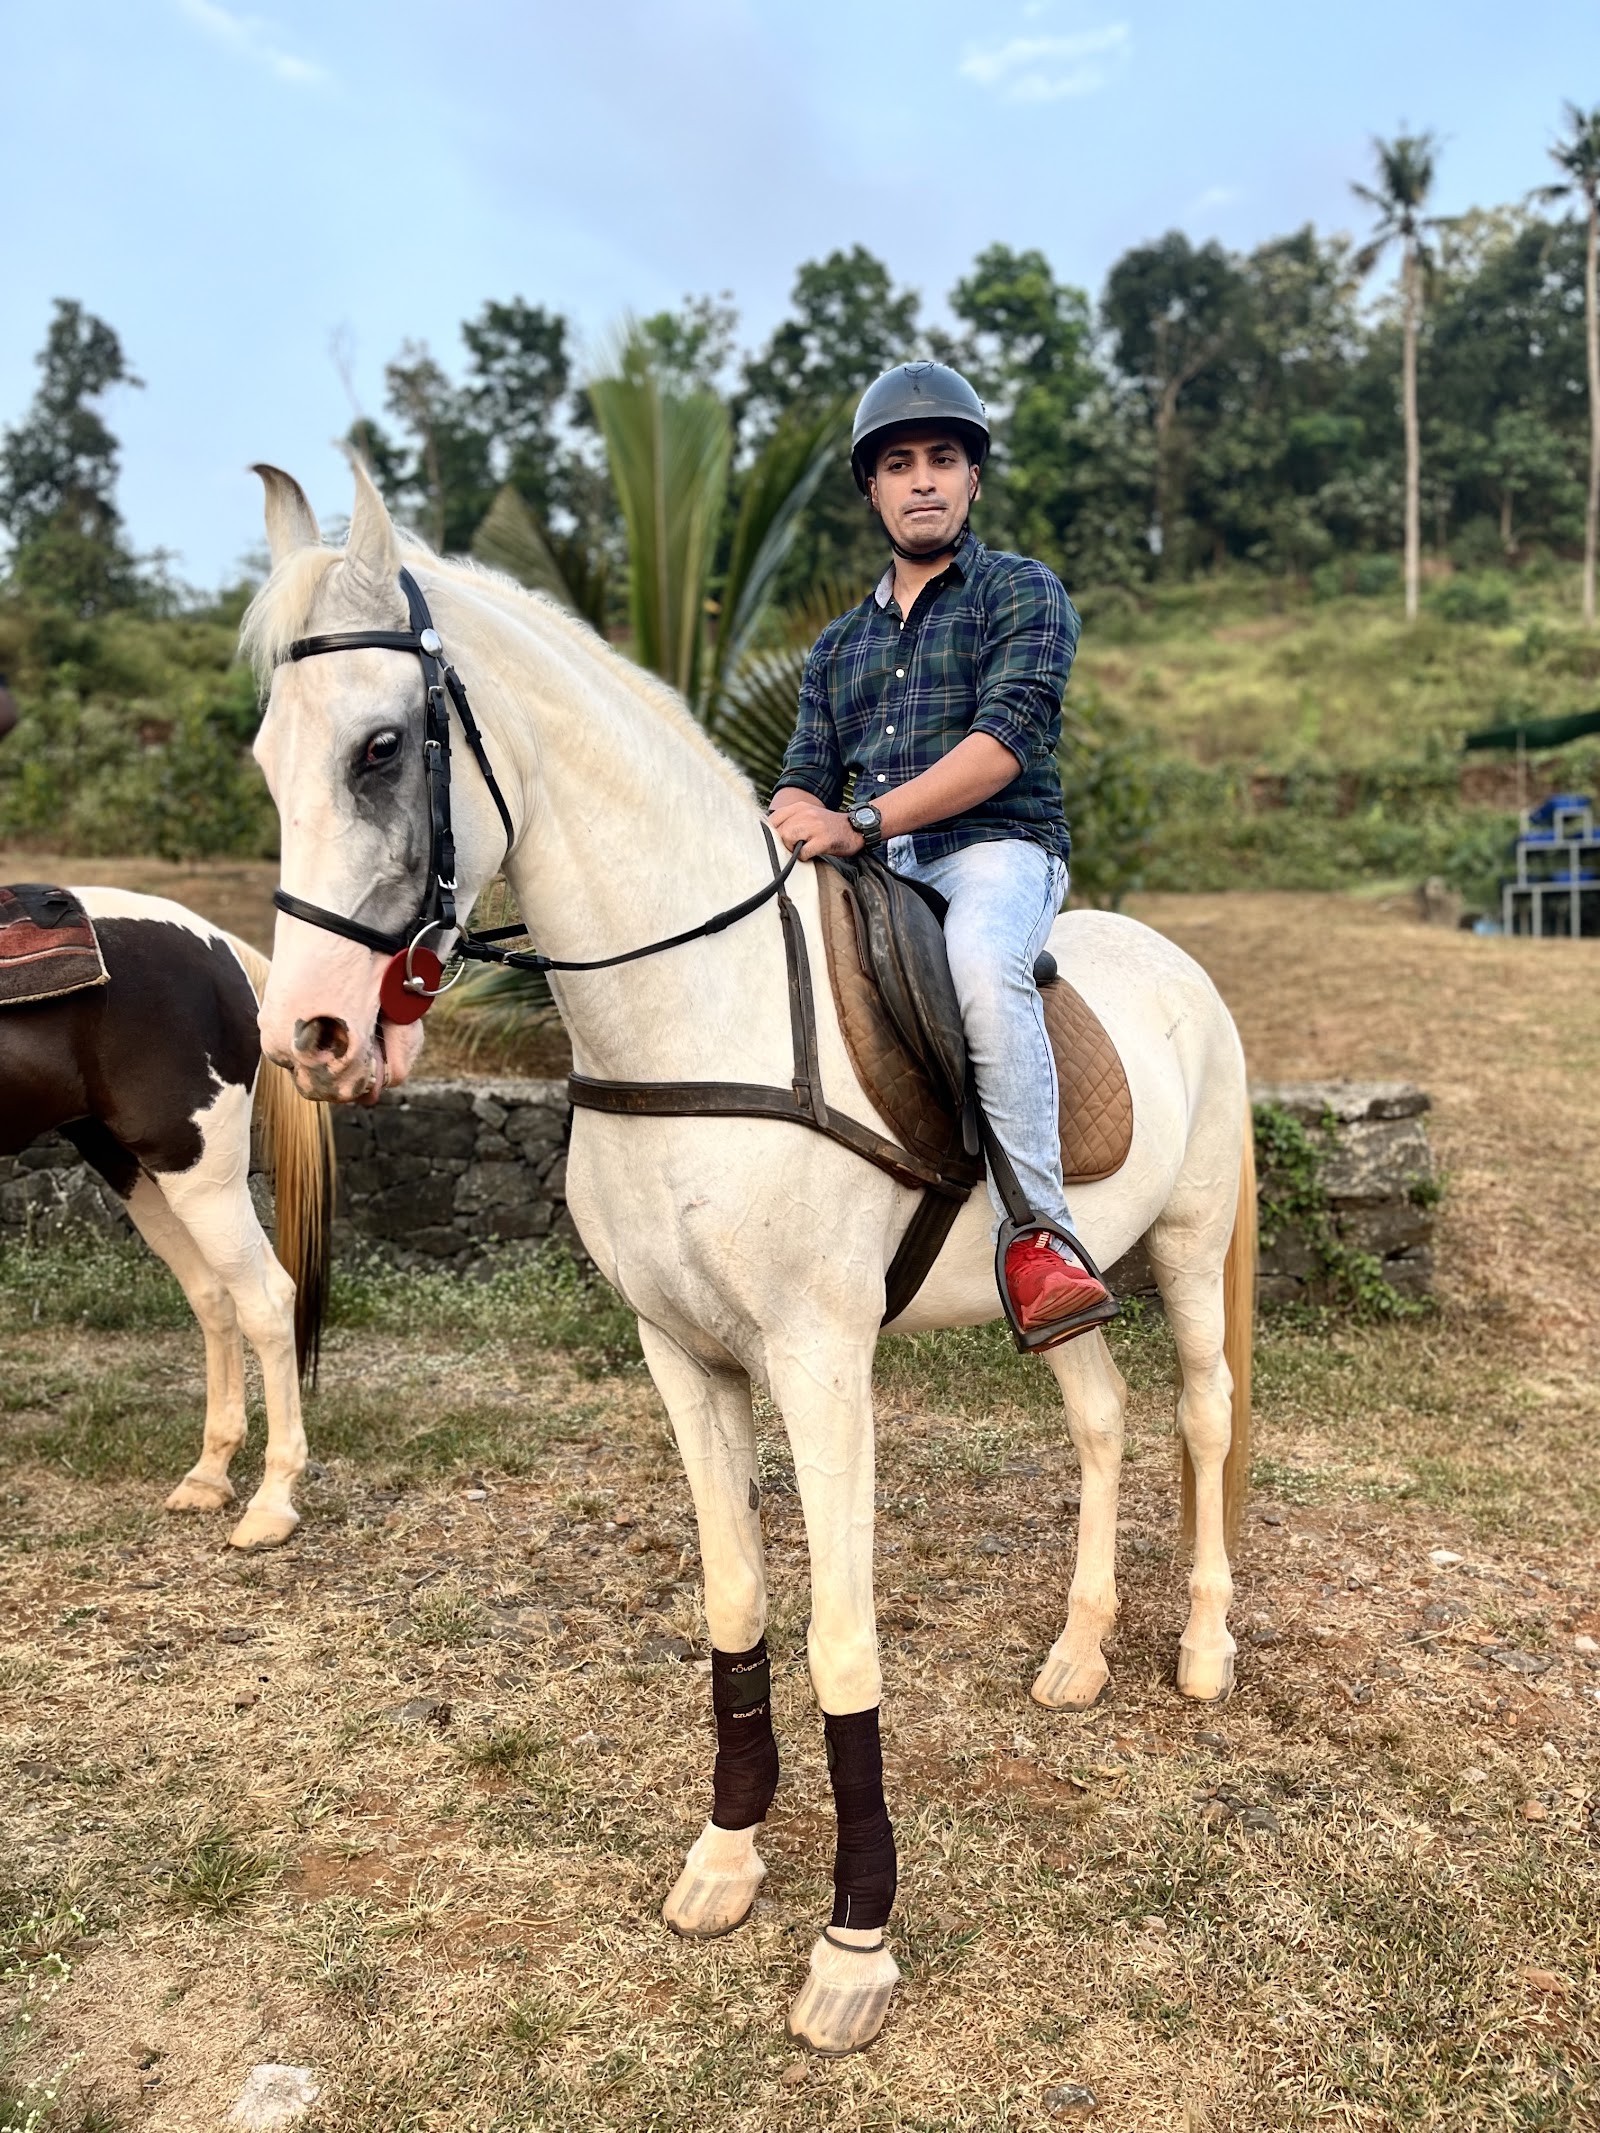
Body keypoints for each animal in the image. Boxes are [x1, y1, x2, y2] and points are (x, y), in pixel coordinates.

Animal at [0, 888, 333, 1550]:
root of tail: (219, 945)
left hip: (200, 1173)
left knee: (265, 1300)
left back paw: (272, 1502)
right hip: (134, 1168)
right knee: (212, 1297)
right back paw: (209, 1475)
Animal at [241, 461, 1255, 2055]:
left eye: (383, 748)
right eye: (266, 758)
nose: (312, 1038)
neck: (690, 1015)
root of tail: (1174, 965)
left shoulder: (819, 1363)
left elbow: (842, 1639)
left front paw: (855, 1943)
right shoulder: (684, 1356)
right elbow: (735, 1607)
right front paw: (724, 1859)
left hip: (1195, 1248)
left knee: (1201, 1415)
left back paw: (1203, 1651)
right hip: (1066, 1287)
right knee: (1098, 1415)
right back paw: (1081, 1653)